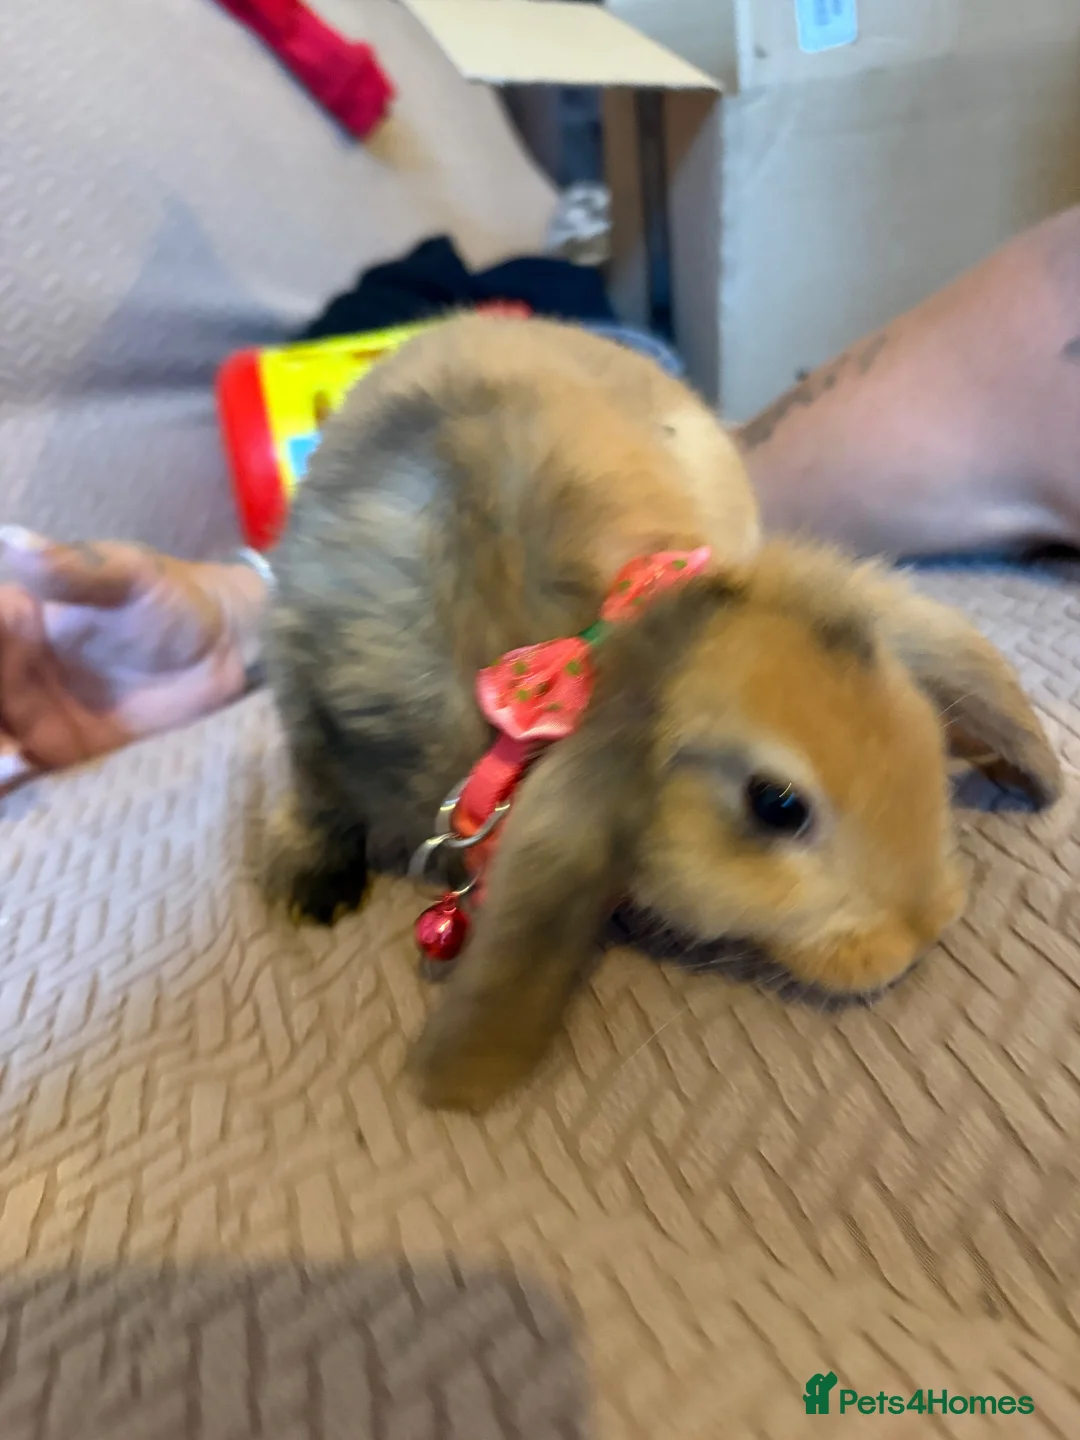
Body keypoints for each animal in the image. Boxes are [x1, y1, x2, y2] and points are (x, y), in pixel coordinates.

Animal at [262, 313, 1061, 1113]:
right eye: (777, 805)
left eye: (922, 724)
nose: (927, 926)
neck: (589, 645)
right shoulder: (310, 716)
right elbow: (316, 803)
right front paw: (311, 894)